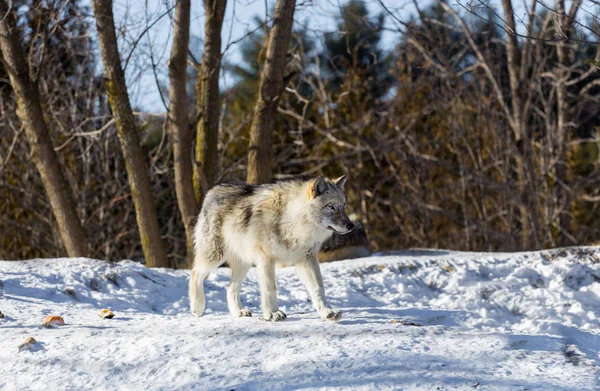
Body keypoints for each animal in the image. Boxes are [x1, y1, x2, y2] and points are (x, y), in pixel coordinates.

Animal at [190, 177, 354, 322]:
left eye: (344, 206)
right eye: (331, 206)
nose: (351, 225)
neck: (292, 222)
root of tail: (213, 190)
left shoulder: (307, 259)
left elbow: (318, 287)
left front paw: (328, 312)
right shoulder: (266, 259)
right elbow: (270, 288)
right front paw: (273, 313)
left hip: (244, 262)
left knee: (230, 288)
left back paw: (239, 312)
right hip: (215, 256)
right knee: (195, 273)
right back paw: (197, 306)